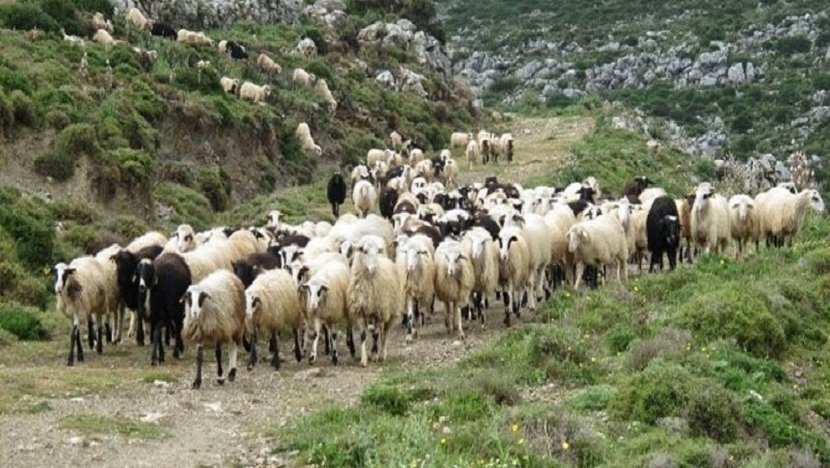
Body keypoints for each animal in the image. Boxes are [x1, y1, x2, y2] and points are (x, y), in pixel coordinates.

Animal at [347, 235, 405, 366]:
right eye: (364, 250)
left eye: (378, 250)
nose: (373, 268)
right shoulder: (360, 311)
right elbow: (363, 335)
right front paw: (364, 359)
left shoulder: (379, 312)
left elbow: (377, 334)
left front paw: (375, 355)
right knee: (376, 331)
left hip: (390, 312)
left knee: (385, 333)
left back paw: (382, 354)